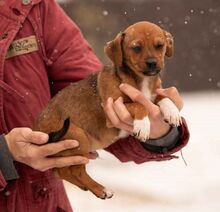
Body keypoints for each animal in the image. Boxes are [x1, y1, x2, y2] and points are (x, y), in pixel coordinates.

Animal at [32, 21, 180, 199]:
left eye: (160, 45)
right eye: (136, 48)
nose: (152, 63)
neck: (142, 80)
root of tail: (38, 130)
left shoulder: (152, 95)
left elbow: (161, 97)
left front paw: (173, 112)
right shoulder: (114, 105)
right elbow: (140, 105)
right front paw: (143, 125)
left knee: (62, 172)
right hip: (77, 135)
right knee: (74, 171)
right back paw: (101, 189)